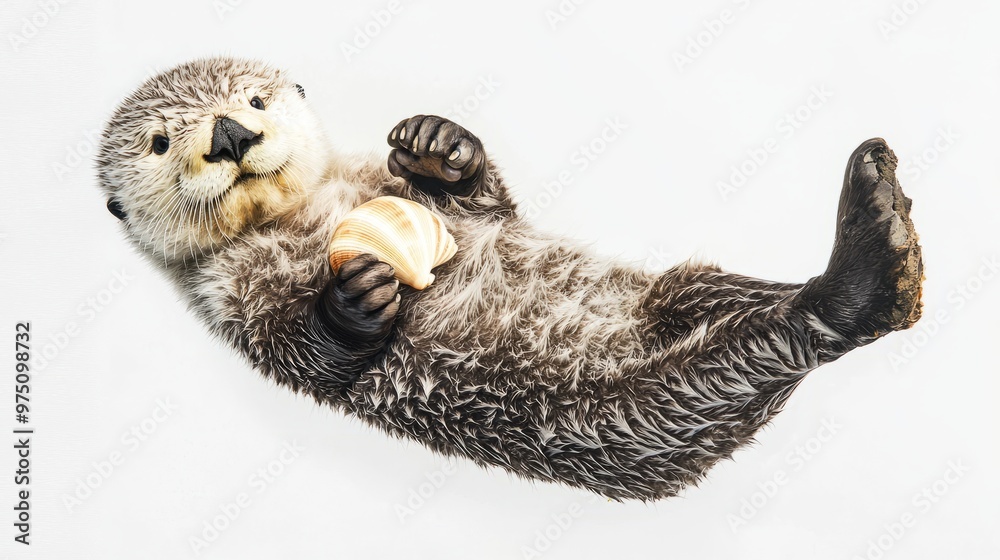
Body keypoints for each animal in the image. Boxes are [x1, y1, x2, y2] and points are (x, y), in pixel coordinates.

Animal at [96, 57, 922, 501]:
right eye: (161, 142)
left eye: (255, 99)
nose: (232, 135)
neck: (318, 206)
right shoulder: (235, 295)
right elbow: (312, 356)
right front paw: (355, 298)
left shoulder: (411, 193)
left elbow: (487, 204)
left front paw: (438, 141)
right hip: (643, 407)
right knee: (783, 336)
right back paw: (869, 269)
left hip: (675, 299)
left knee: (712, 293)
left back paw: (881, 228)